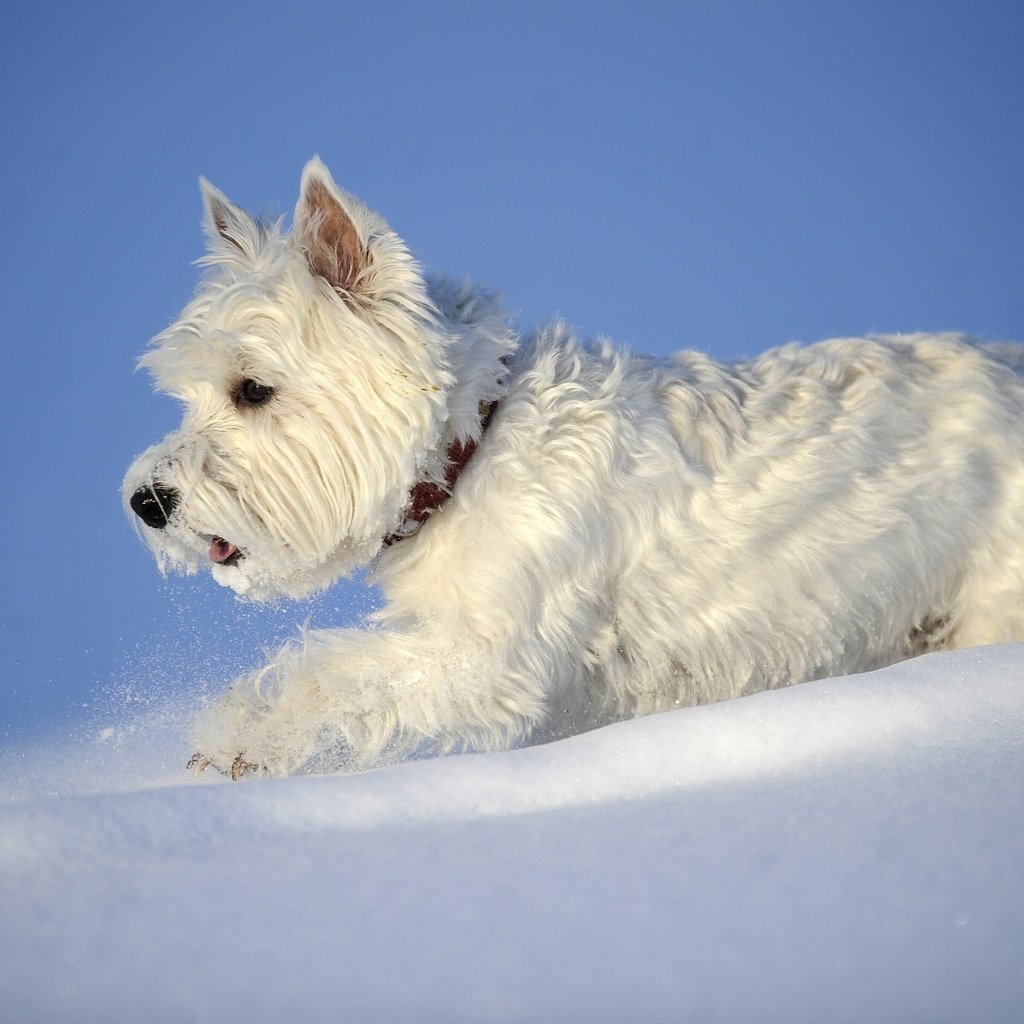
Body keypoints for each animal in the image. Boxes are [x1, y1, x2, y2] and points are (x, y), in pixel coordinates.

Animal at [123, 157, 1024, 774]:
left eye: (252, 389)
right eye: (188, 395)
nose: (146, 500)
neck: (471, 450)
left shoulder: (488, 654)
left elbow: (333, 673)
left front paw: (236, 738)